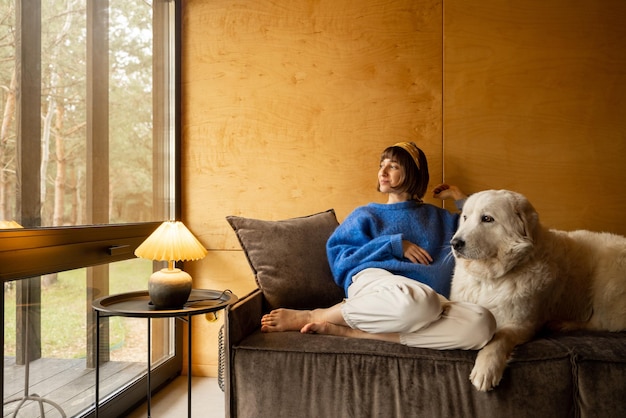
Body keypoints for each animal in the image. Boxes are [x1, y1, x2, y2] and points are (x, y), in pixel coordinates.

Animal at [448, 190, 624, 392]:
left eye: (487, 219)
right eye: (465, 218)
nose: (454, 243)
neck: (491, 279)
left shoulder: (523, 324)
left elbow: (499, 337)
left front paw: (486, 369)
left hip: (607, 277)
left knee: (601, 323)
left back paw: (563, 324)